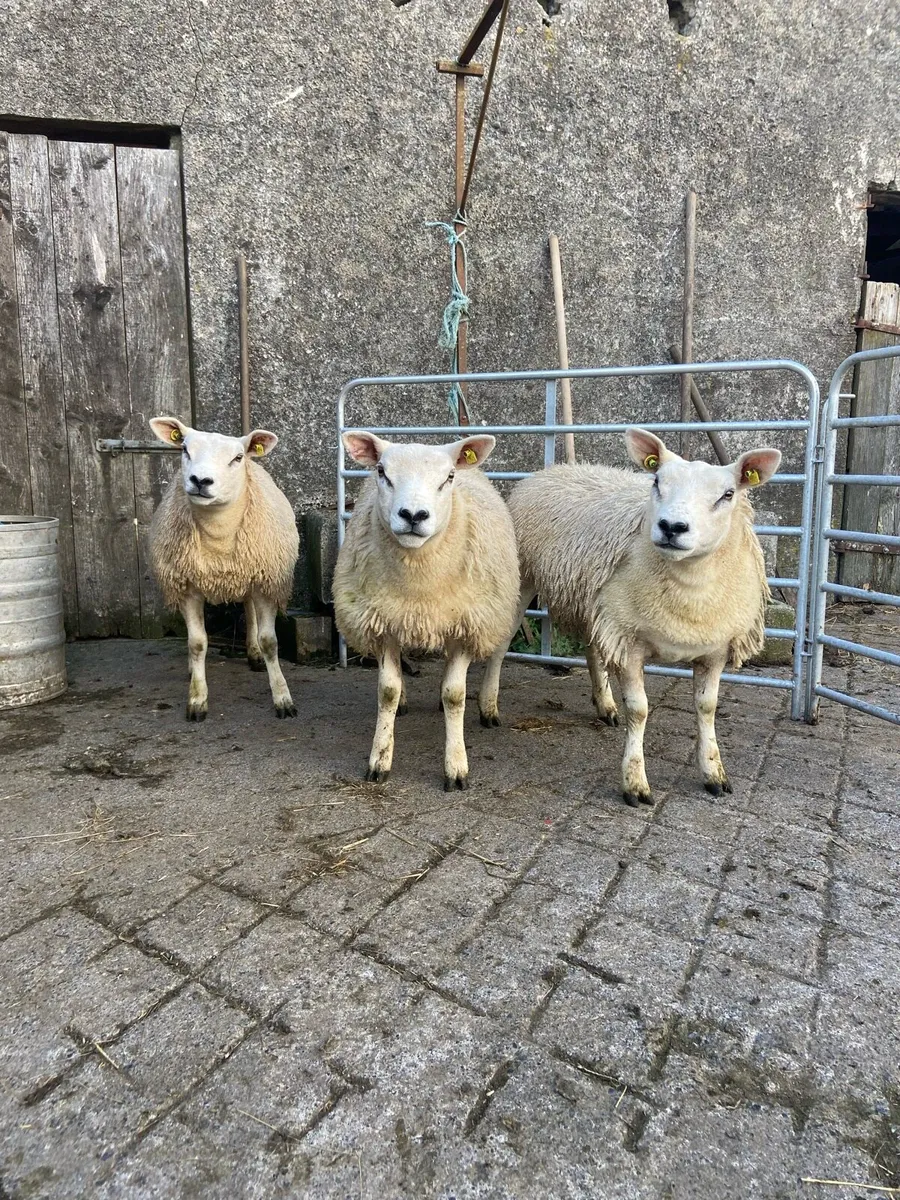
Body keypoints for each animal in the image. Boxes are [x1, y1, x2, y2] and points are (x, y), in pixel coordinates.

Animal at [148, 416, 299, 722]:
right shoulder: (188, 587)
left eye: (237, 458)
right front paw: (197, 700)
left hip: (251, 574)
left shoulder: (266, 582)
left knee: (249, 610)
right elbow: (196, 643)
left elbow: (269, 641)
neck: (218, 532)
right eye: (185, 449)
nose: (200, 481)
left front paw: (282, 698)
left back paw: (254, 655)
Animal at [333, 431, 520, 791]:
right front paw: (380, 761)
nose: (413, 515)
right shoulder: (383, 623)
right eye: (382, 472)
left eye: (448, 477)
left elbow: (455, 695)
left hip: (489, 614)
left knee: (494, 656)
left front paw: (456, 767)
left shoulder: (467, 625)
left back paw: (488, 708)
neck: (419, 585)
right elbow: (387, 691)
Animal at [480, 427, 782, 805]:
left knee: (592, 648)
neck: (689, 588)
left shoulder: (714, 649)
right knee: (503, 641)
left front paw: (714, 773)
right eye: (656, 481)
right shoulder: (629, 641)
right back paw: (488, 708)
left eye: (728, 494)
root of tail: (555, 469)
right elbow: (639, 710)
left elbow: (707, 707)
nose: (672, 526)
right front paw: (635, 783)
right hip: (523, 578)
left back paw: (605, 704)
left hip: (594, 601)